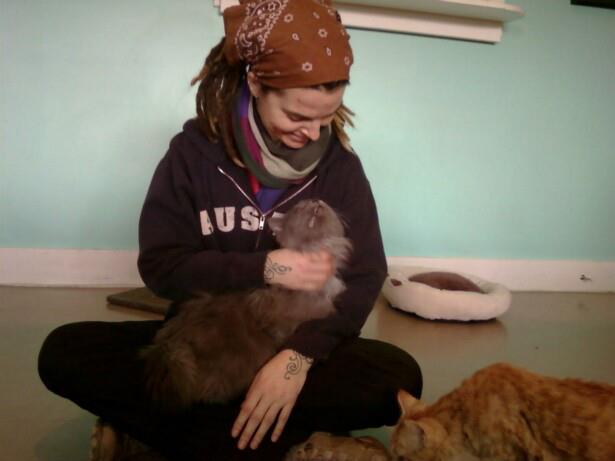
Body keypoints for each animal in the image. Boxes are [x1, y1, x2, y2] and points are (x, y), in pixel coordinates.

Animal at [141, 199, 351, 410]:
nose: (316, 201)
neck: (318, 248)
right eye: (300, 208)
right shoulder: (298, 314)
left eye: (317, 201)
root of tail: (169, 345)